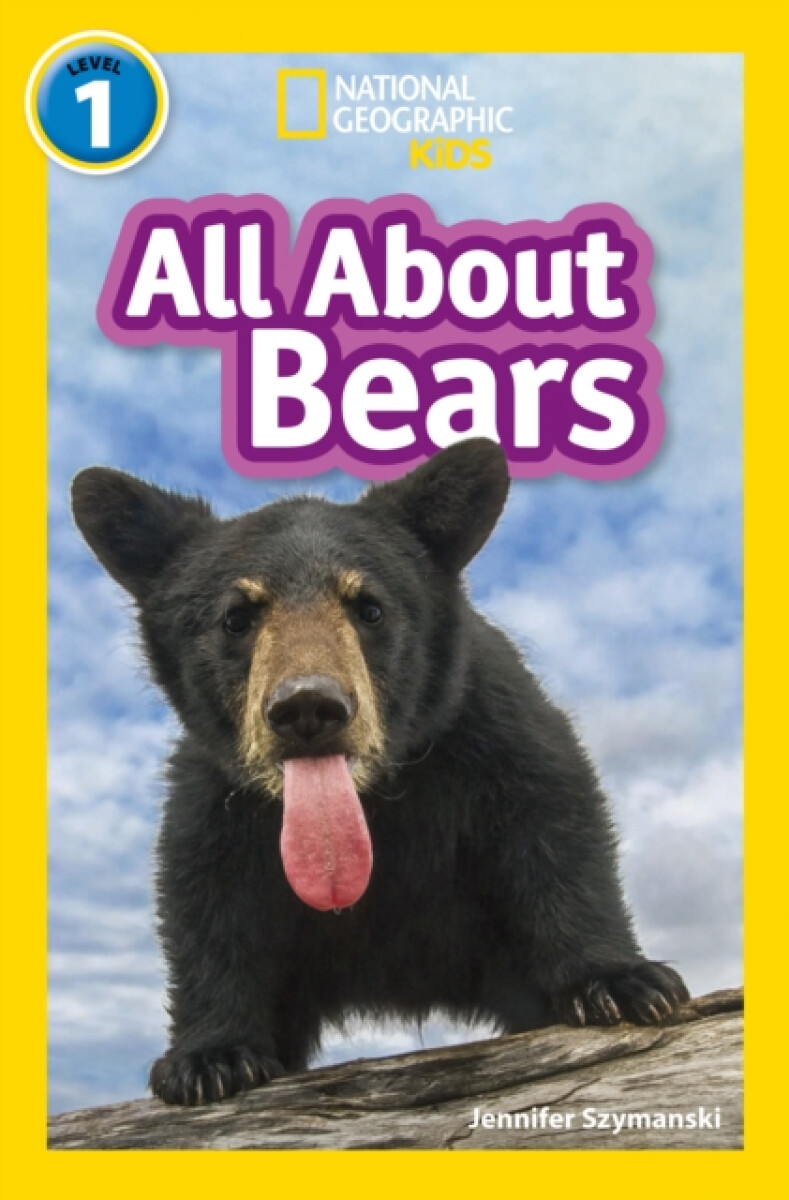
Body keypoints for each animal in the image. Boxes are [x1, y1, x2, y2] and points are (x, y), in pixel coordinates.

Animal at [70, 438, 689, 1107]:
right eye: (236, 617)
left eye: (369, 608)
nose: (308, 707)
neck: (376, 800)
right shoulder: (215, 794)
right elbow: (205, 895)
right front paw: (208, 1058)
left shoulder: (492, 728)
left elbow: (554, 822)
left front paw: (624, 983)